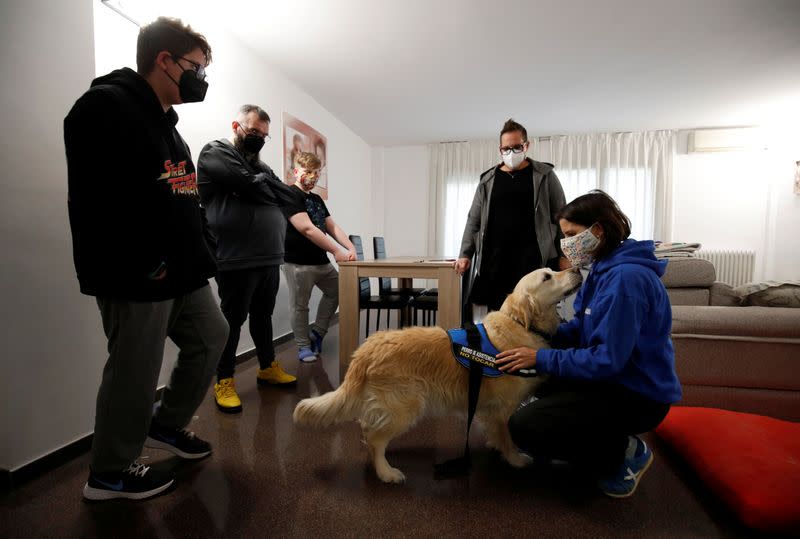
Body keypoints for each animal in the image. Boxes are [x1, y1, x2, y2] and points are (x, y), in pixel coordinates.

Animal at [294, 268, 580, 484]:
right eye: (547, 276)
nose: (577, 269)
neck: (522, 324)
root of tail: (367, 348)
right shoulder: (504, 408)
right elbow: (507, 436)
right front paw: (516, 458)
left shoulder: (491, 409)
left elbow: (496, 432)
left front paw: (495, 445)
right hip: (405, 406)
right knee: (375, 439)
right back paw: (386, 472)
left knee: (367, 429)